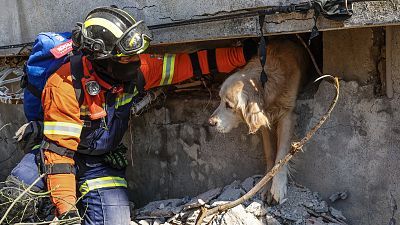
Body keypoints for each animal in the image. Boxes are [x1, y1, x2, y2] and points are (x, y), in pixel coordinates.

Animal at [209, 37, 310, 203]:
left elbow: (281, 153)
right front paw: (266, 184)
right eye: (219, 99)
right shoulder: (264, 121)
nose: (210, 123)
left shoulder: (287, 115)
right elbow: (269, 152)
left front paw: (278, 185)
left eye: (229, 105)